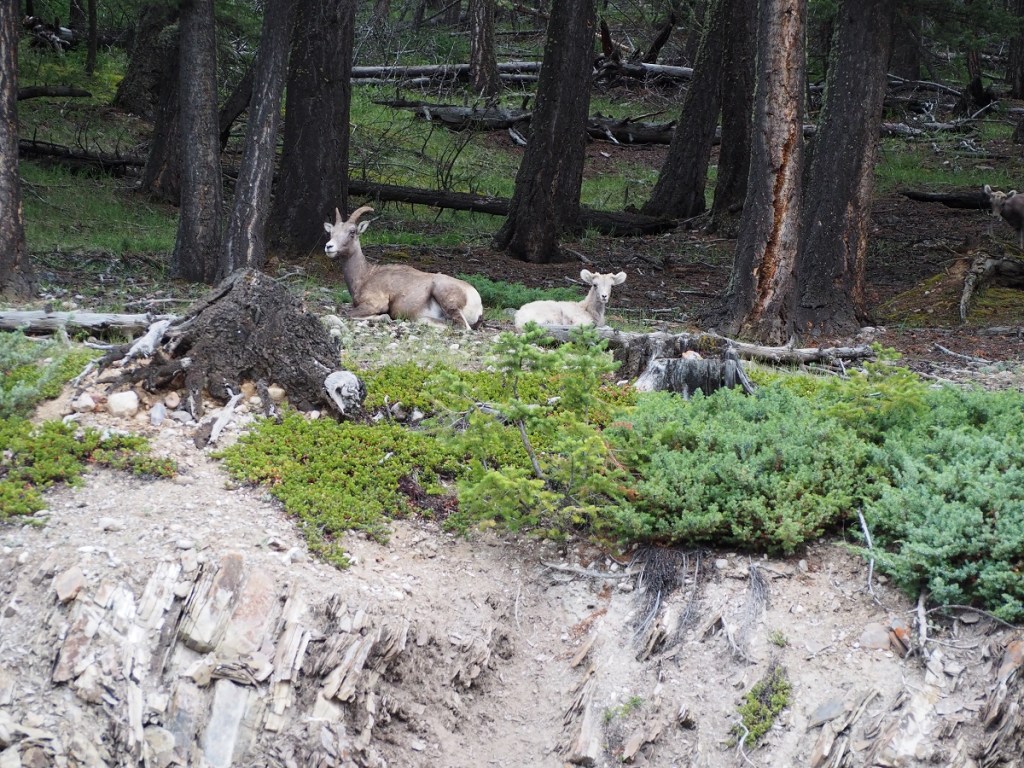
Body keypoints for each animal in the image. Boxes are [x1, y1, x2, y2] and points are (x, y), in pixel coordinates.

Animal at [323, 206, 483, 329]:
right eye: (331, 232)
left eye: (352, 232)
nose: (329, 247)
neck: (366, 276)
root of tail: (476, 300)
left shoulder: (374, 304)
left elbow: (348, 314)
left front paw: (385, 318)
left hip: (446, 298)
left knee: (462, 327)